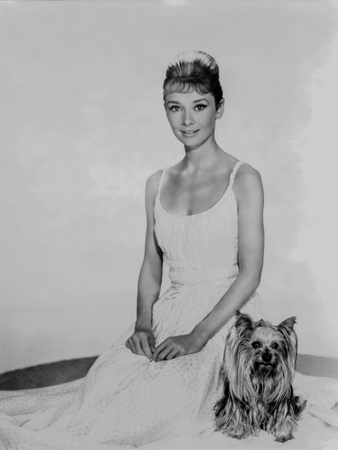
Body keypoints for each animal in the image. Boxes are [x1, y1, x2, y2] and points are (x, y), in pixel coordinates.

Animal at [215, 312, 308, 442]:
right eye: (255, 344)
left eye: (275, 345)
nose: (267, 357)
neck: (262, 375)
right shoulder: (237, 403)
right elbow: (236, 415)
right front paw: (236, 432)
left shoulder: (282, 401)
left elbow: (283, 416)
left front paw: (283, 434)